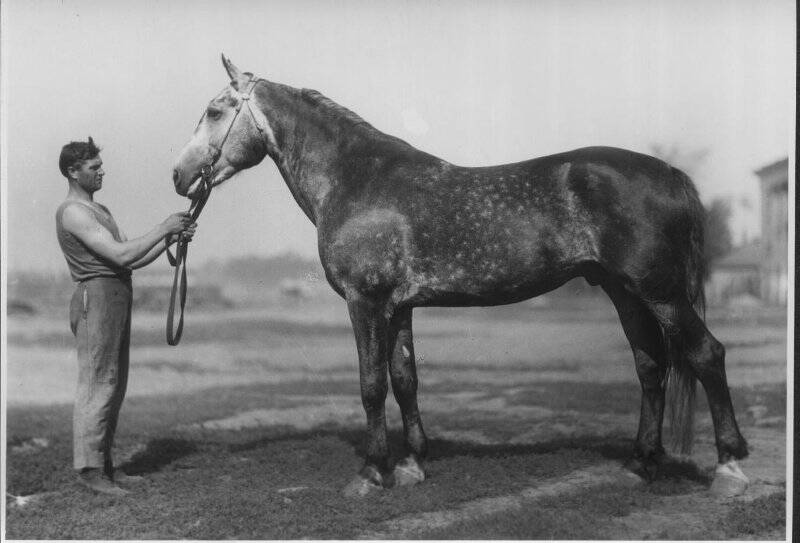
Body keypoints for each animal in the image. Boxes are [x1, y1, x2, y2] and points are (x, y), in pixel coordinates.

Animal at [170, 54, 752, 498]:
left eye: (215, 110)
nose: (179, 176)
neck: (356, 180)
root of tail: (669, 173)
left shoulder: (365, 301)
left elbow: (370, 384)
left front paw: (370, 473)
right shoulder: (398, 306)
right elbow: (405, 379)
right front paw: (411, 466)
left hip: (661, 293)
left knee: (706, 355)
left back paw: (729, 467)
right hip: (624, 292)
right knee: (651, 367)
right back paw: (641, 463)